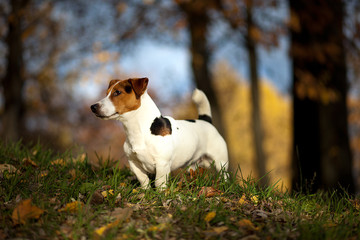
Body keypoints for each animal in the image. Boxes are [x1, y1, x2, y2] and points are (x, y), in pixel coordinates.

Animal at [91, 78, 229, 188]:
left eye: (117, 92)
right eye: (106, 94)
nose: (93, 107)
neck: (139, 130)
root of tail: (206, 121)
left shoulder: (162, 164)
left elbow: (159, 182)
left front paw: (160, 195)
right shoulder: (134, 163)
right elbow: (143, 180)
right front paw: (146, 193)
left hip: (221, 162)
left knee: (225, 175)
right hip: (192, 166)